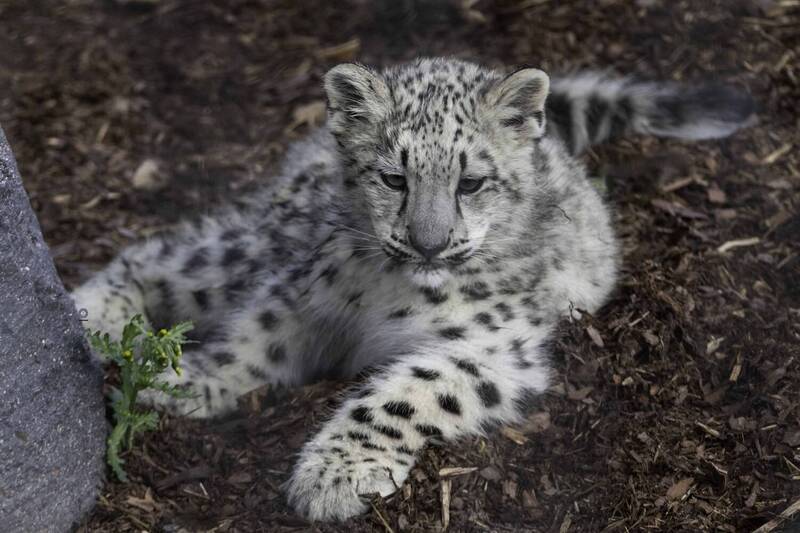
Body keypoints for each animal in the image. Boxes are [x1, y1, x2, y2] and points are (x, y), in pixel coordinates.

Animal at [71, 57, 755, 521]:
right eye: (393, 178)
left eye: (472, 182)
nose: (428, 243)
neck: (385, 294)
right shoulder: (304, 296)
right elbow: (255, 339)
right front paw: (187, 380)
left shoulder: (492, 349)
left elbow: (402, 394)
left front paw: (332, 476)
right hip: (262, 242)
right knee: (166, 253)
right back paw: (91, 315)